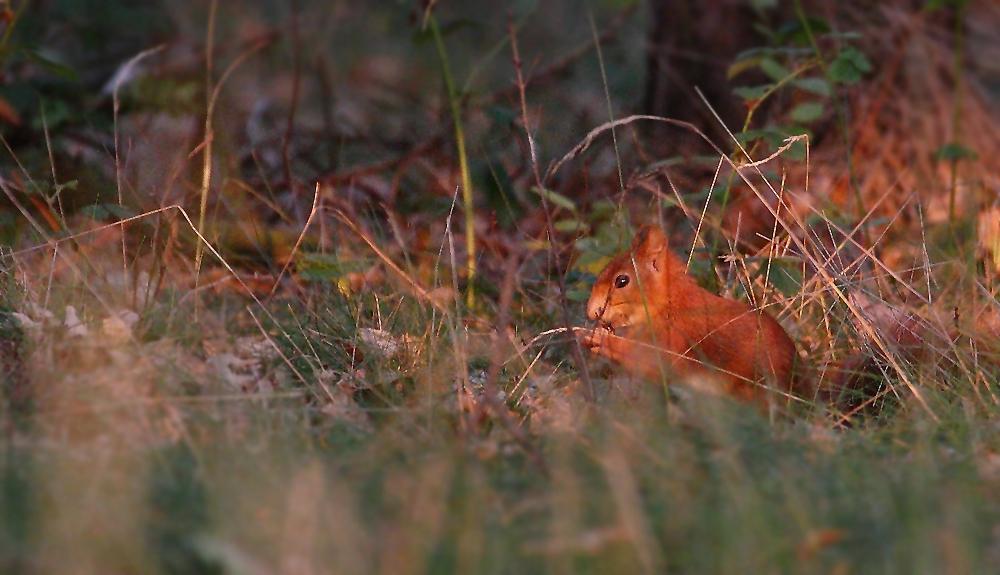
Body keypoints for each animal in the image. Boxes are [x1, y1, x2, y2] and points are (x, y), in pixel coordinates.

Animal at [584, 224, 808, 404]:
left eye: (622, 281)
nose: (591, 312)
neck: (669, 304)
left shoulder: (669, 339)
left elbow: (642, 360)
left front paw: (597, 339)